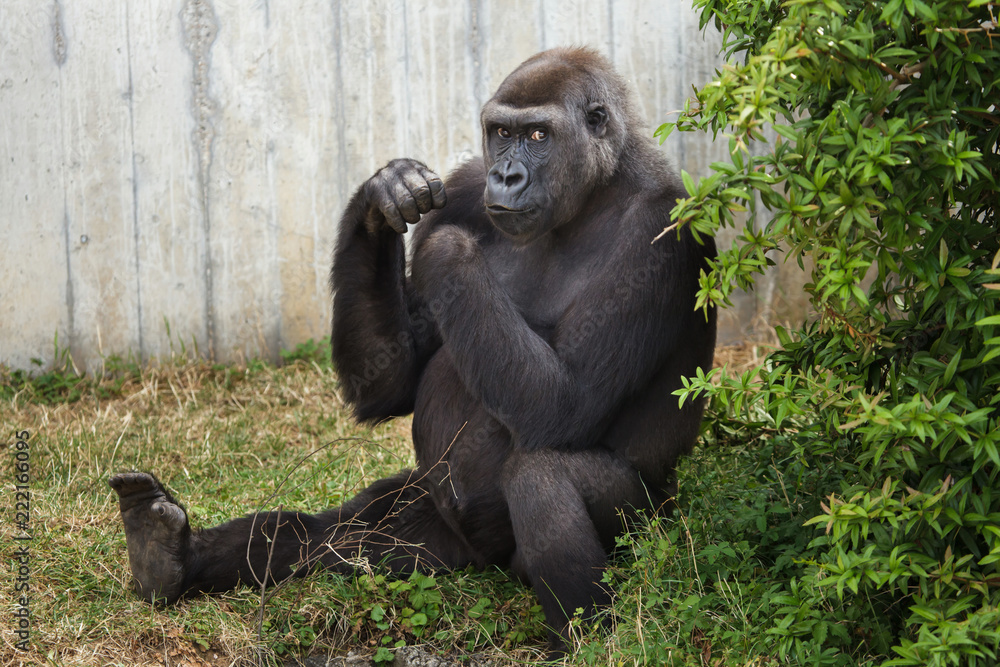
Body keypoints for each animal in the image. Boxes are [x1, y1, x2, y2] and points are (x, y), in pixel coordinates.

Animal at [109, 48, 716, 656]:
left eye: (539, 135)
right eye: (502, 133)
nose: (505, 174)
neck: (596, 188)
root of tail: (483, 561)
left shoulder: (661, 228)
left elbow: (566, 402)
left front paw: (450, 250)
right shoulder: (465, 186)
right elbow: (390, 383)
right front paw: (379, 199)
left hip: (648, 528)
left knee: (542, 476)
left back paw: (587, 642)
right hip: (437, 538)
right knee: (332, 534)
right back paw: (167, 556)